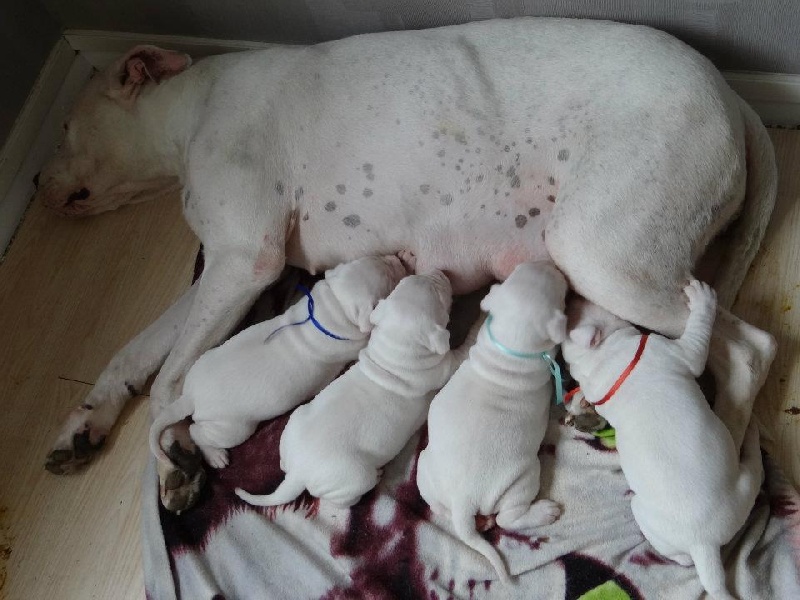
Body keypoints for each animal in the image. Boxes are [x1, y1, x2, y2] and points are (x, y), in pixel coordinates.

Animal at [234, 270, 454, 508]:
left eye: (405, 281)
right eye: (438, 294)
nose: (440, 272)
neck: (393, 349)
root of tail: (298, 474)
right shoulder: (441, 369)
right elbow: (456, 357)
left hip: (295, 421)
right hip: (355, 478)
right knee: (344, 499)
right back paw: (375, 478)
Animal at [560, 282, 764, 600]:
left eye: (570, 312)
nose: (570, 294)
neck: (600, 360)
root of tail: (703, 545)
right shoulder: (677, 351)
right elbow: (697, 344)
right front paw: (702, 299)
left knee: (680, 557)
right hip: (739, 488)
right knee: (754, 472)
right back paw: (753, 442)